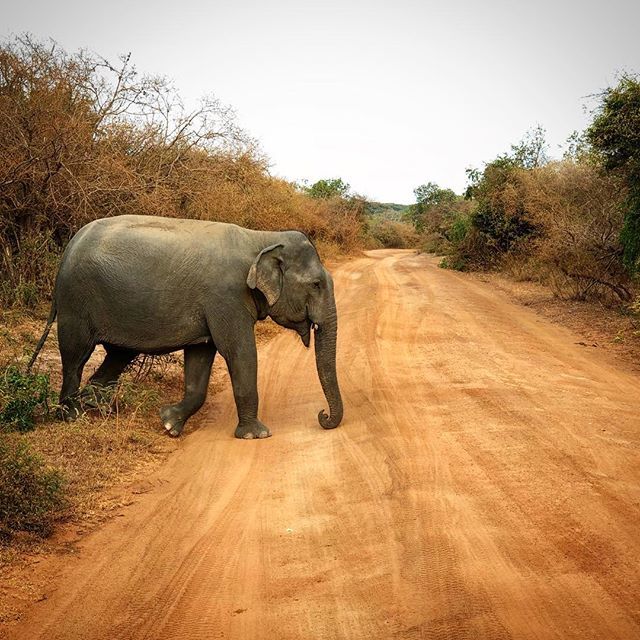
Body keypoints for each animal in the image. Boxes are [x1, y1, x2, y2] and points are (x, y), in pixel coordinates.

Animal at [29, 215, 343, 439]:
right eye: (316, 284)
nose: (322, 416)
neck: (261, 238)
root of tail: (69, 247)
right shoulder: (226, 297)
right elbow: (239, 351)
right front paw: (257, 435)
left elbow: (201, 356)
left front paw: (169, 424)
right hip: (75, 301)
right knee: (75, 356)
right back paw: (71, 416)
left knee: (118, 356)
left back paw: (95, 408)